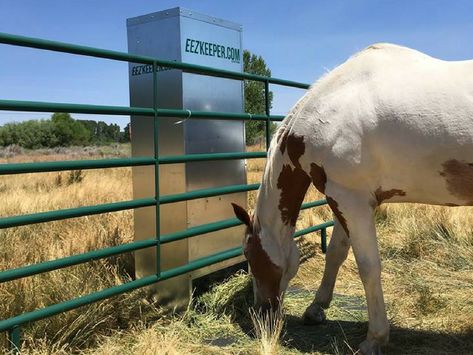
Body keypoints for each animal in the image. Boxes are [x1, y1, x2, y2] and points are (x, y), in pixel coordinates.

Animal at [231, 43, 472, 355]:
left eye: (249, 255)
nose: (260, 312)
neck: (328, 106)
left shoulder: (351, 201)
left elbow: (368, 267)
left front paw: (375, 338)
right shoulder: (342, 198)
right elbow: (336, 253)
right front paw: (316, 308)